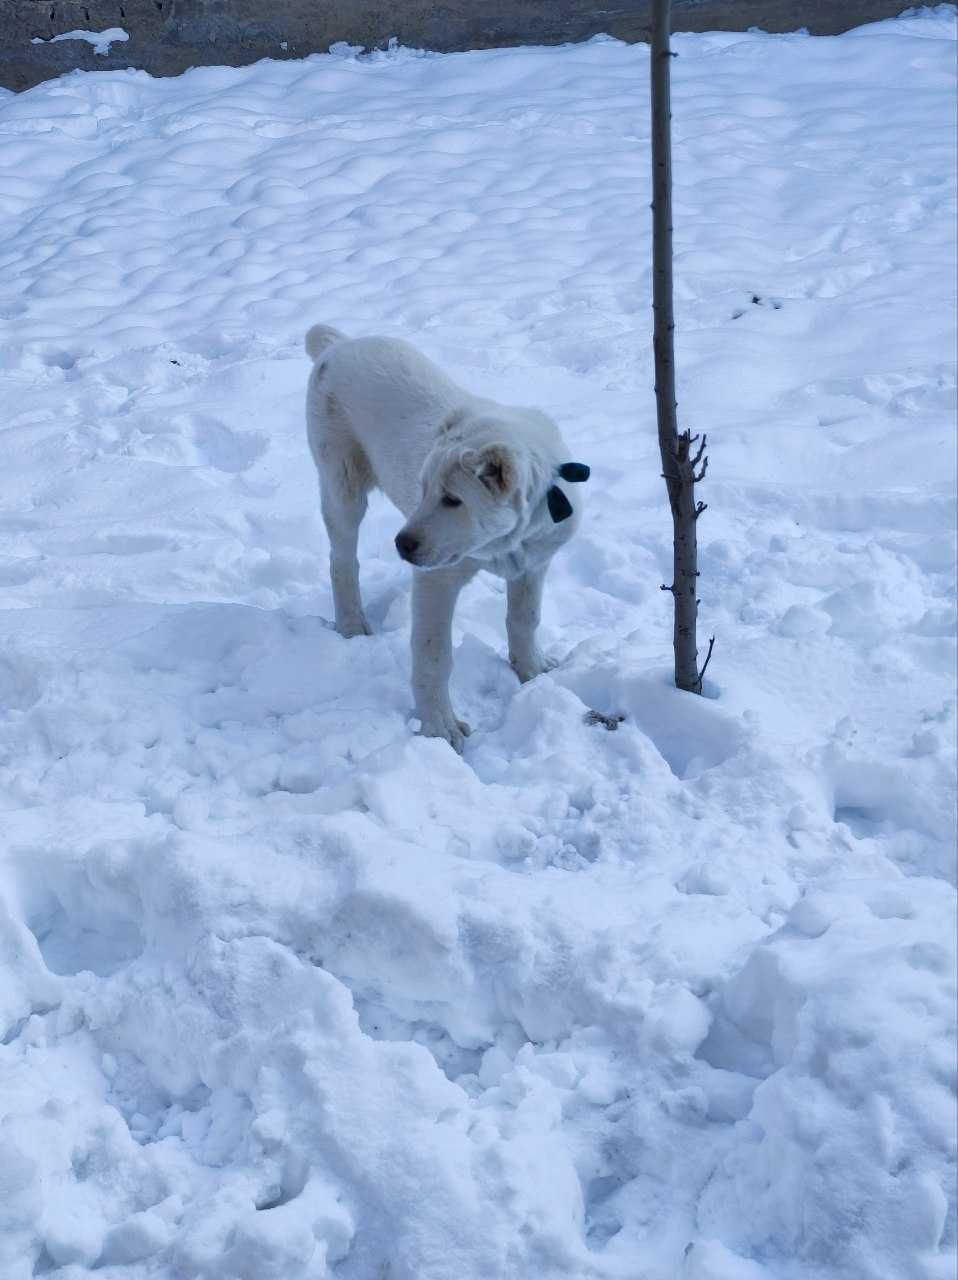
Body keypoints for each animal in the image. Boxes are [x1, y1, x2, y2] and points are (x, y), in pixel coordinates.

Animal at [307, 325, 591, 747]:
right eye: (423, 489)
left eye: (453, 500)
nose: (401, 544)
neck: (508, 541)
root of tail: (338, 344)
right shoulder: (436, 580)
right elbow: (434, 654)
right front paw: (439, 726)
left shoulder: (534, 564)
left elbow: (525, 618)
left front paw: (532, 670)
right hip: (341, 483)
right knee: (342, 560)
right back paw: (352, 625)